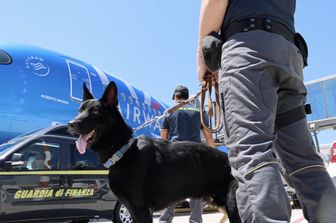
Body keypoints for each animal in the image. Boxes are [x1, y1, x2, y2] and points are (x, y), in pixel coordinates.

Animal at [68, 82, 240, 223]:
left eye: (95, 111)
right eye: (79, 110)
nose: (71, 124)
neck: (123, 151)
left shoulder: (141, 210)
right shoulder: (134, 210)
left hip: (234, 208)